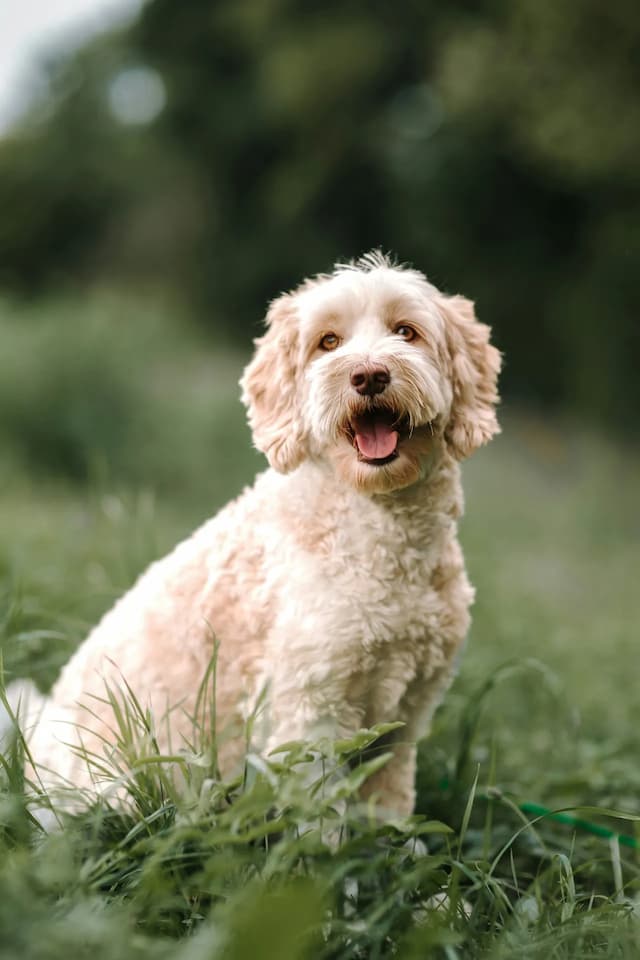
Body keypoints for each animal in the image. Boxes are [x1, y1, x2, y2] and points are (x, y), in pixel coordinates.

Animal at [12, 251, 500, 812]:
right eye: (328, 341)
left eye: (406, 332)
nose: (369, 375)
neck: (381, 531)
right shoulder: (310, 708)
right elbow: (320, 818)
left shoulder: (406, 716)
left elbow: (390, 808)